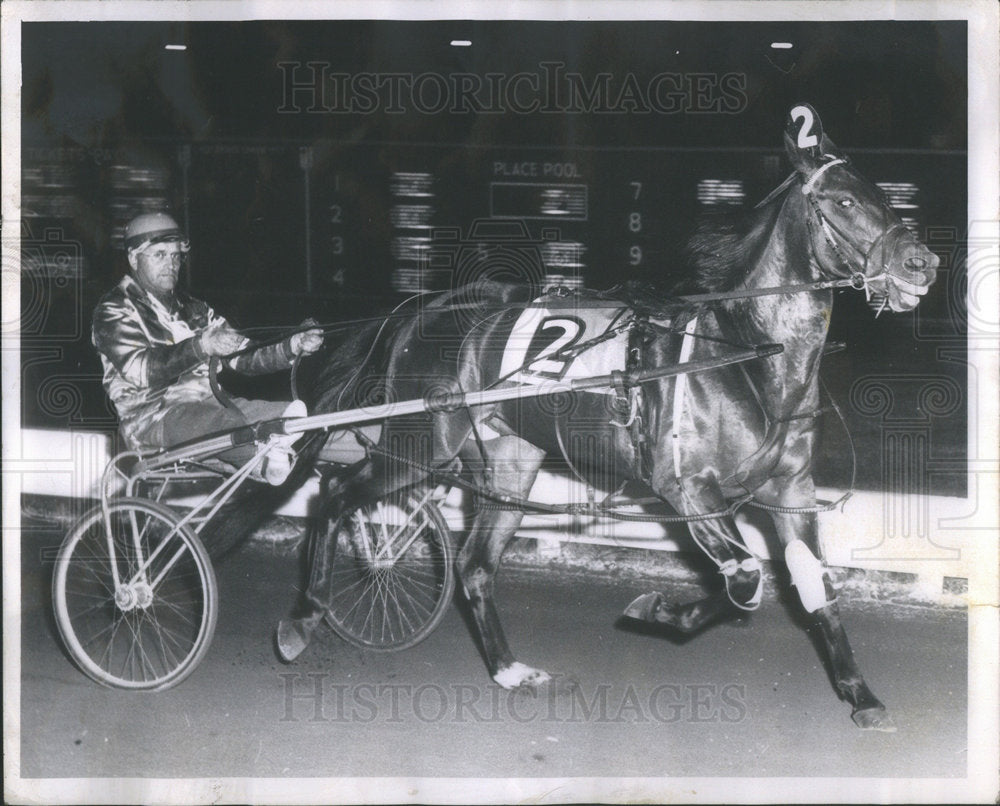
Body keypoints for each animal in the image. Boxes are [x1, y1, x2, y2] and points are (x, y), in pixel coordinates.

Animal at [280, 105, 936, 732]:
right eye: (843, 200)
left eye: (883, 192)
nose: (921, 262)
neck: (749, 355)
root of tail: (419, 308)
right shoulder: (687, 488)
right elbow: (745, 577)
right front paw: (658, 609)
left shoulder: (791, 491)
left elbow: (812, 583)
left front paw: (861, 695)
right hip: (422, 444)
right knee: (337, 495)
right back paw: (300, 621)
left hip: (511, 463)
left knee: (473, 565)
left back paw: (509, 669)